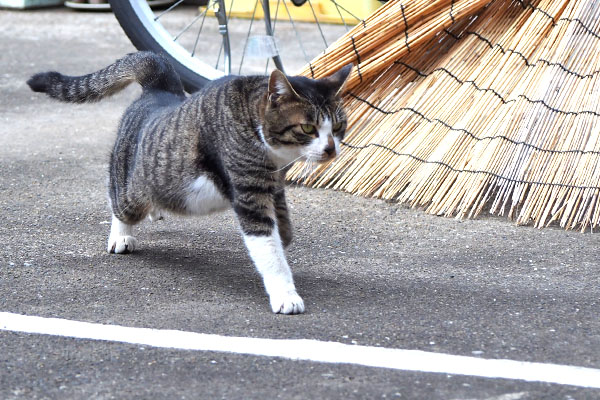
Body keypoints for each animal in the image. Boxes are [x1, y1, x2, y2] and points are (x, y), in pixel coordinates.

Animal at [28, 52, 352, 316]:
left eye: (338, 126)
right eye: (308, 128)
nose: (331, 149)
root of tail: (158, 89)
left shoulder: (273, 184)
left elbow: (282, 221)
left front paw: (284, 235)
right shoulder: (249, 193)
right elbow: (268, 249)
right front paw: (285, 294)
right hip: (131, 190)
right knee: (118, 201)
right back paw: (121, 234)